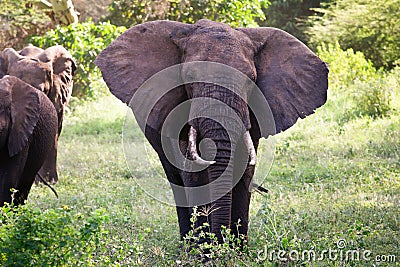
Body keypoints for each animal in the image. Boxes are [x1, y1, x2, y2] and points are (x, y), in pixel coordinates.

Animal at [96, 18, 328, 245]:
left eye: (251, 79)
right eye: (189, 76)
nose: (220, 240)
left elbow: (244, 168)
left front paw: (236, 249)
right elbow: (193, 173)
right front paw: (205, 250)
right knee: (174, 177)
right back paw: (186, 245)